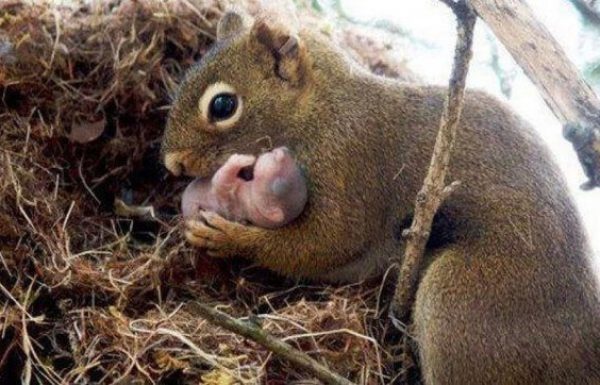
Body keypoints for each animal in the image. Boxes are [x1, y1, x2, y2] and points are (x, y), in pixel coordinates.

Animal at [180, 146, 308, 226]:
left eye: (278, 184)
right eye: (300, 170)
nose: (283, 151)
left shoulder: (230, 204)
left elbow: (219, 181)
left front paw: (241, 159)